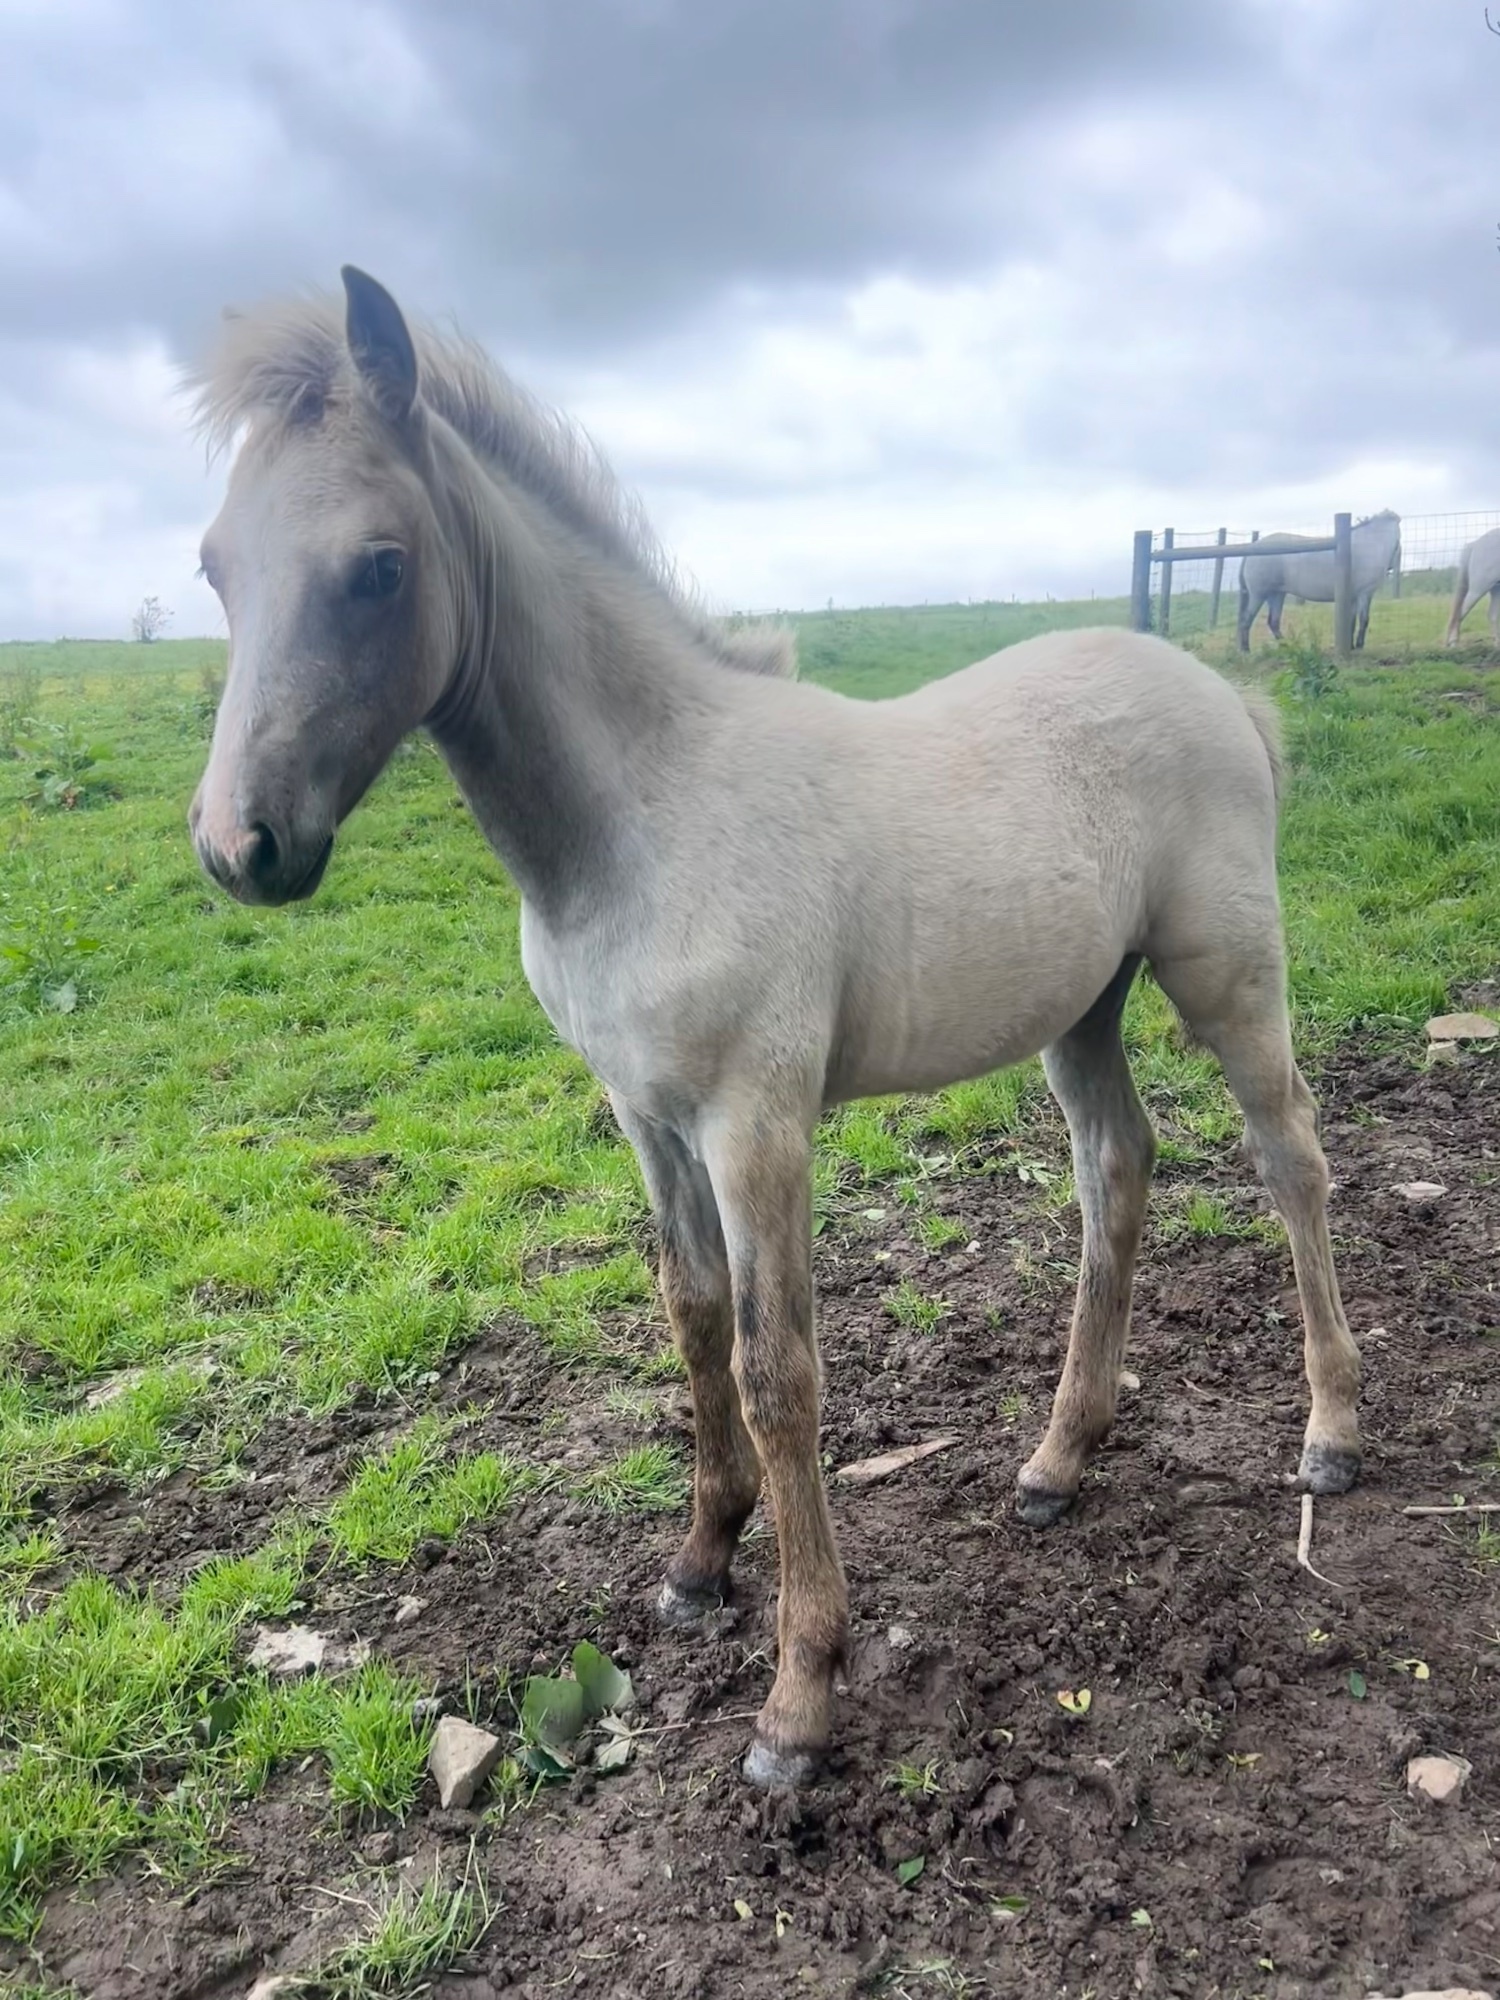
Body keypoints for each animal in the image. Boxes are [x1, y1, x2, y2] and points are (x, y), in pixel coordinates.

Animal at [186, 268, 1362, 1789]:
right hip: (1081, 1005)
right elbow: (690, 1316)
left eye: (379, 565)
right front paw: (699, 1560)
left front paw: (800, 1696)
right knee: (1120, 1165)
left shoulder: (758, 1119)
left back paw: (1331, 1433)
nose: (240, 846)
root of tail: (1223, 689)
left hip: (1224, 971)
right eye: (216, 565)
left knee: (1292, 1162)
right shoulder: (644, 1113)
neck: (640, 816)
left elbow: (775, 1366)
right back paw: (1058, 1461)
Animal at [1237, 510, 1401, 652]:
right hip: (1259, 595)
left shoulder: (1353, 597)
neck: (1369, 545)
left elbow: (1351, 621)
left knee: (1273, 622)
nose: (1391, 567)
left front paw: (1351, 646)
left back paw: (1289, 648)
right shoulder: (1365, 594)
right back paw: (1246, 651)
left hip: (1276, 595)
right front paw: (1359, 646)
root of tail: (1252, 549)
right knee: (1246, 620)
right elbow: (1364, 620)